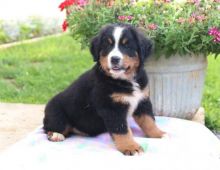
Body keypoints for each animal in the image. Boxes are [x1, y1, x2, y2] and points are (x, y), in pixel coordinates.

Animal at [43, 22, 164, 155]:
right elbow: (122, 130)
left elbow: (149, 121)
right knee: (48, 128)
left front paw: (159, 134)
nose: (114, 59)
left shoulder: (142, 101)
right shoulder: (112, 109)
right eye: (107, 45)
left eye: (127, 45)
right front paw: (131, 146)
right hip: (57, 115)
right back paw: (55, 135)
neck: (124, 80)